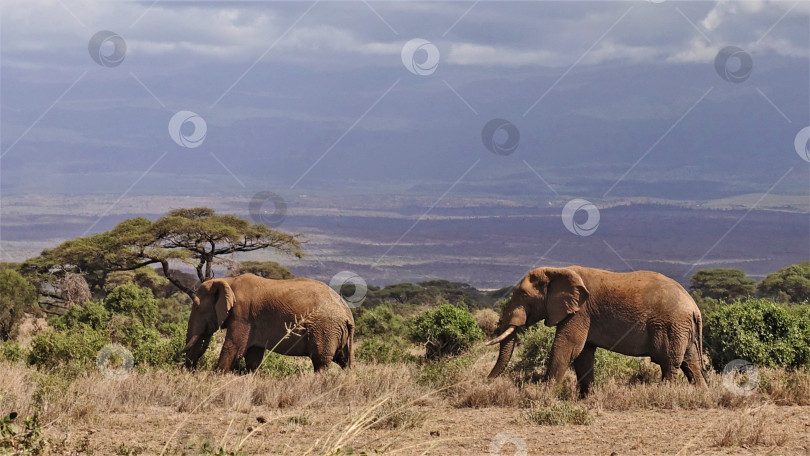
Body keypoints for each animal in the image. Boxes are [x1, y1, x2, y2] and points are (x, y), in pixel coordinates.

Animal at [183, 272, 354, 372]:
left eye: (197, 307)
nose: (190, 371)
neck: (228, 281)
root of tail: (347, 313)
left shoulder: (242, 314)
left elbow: (232, 348)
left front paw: (217, 376)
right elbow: (253, 356)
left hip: (325, 328)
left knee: (321, 361)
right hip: (337, 331)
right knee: (344, 360)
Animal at [482, 266, 704, 398]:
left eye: (524, 295)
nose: (486, 382)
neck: (558, 271)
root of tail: (695, 308)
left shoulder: (580, 312)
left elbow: (566, 347)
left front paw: (544, 395)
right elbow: (583, 355)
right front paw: (586, 399)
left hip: (671, 325)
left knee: (670, 363)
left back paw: (664, 394)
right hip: (682, 329)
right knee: (690, 362)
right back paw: (702, 393)